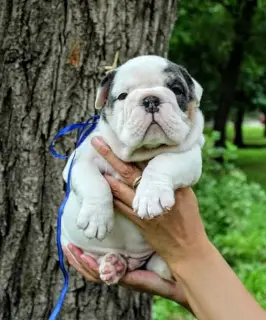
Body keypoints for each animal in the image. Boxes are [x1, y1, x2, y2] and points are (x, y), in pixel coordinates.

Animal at [61, 55, 205, 284]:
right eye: (122, 96)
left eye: (176, 90)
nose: (150, 100)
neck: (142, 152)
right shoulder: (81, 159)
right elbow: (92, 180)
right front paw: (96, 217)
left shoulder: (190, 154)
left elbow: (164, 161)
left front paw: (151, 196)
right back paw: (112, 264)